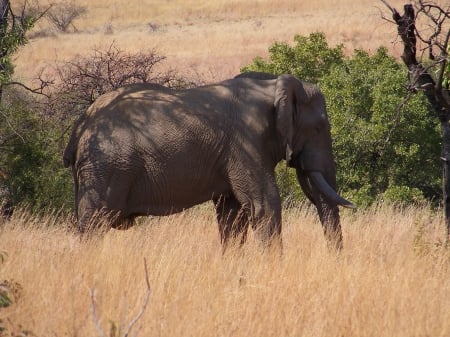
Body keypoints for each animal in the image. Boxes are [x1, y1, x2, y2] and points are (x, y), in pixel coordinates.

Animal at [62, 72, 356, 248]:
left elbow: (231, 215)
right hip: (105, 166)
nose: (335, 262)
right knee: (94, 224)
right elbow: (264, 205)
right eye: (318, 128)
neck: (273, 85)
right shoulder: (245, 142)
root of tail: (80, 125)